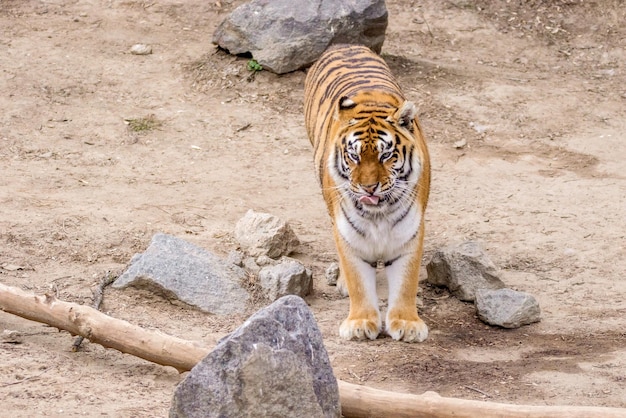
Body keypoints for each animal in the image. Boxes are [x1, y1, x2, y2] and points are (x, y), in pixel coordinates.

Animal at [302, 44, 428, 342]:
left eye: (386, 155)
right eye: (354, 156)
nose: (369, 187)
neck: (378, 213)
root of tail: (345, 44)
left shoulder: (410, 233)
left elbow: (406, 281)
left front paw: (407, 324)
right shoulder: (348, 234)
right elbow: (358, 280)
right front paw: (360, 323)